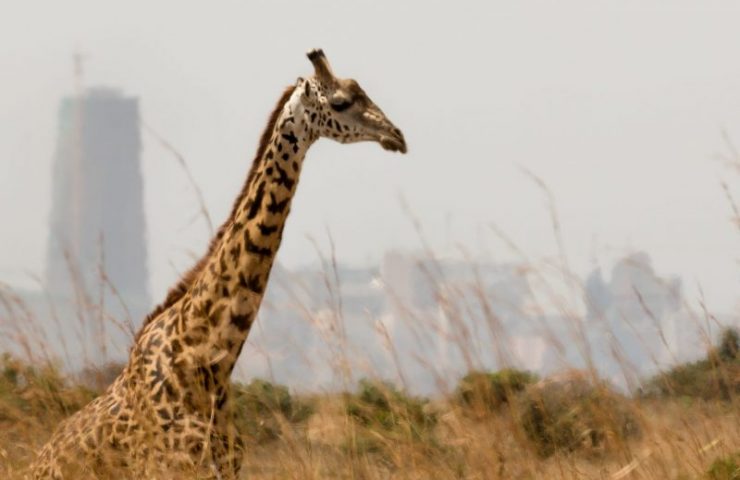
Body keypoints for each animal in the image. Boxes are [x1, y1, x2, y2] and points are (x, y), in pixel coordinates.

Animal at [31, 49, 408, 480]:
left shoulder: (225, 468)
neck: (207, 359)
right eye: (342, 101)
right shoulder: (168, 467)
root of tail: (38, 459)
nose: (397, 136)